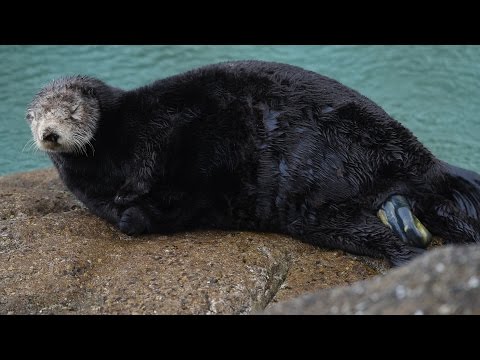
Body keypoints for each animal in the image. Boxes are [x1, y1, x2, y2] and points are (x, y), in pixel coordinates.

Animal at [26, 60, 480, 266]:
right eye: (37, 116)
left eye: (69, 111)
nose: (49, 134)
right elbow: (134, 213)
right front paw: (132, 206)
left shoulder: (157, 123)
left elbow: (157, 156)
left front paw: (136, 194)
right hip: (328, 213)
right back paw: (408, 232)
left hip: (340, 175)